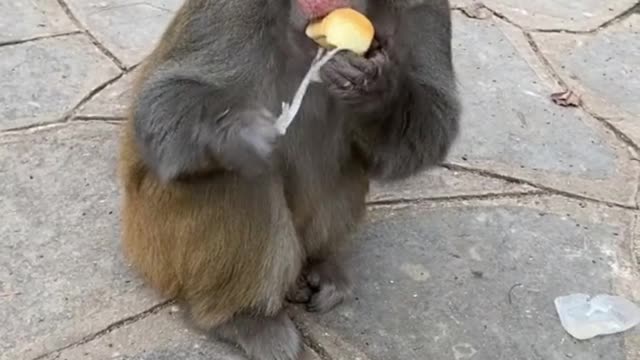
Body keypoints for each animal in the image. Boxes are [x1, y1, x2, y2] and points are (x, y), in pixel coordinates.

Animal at [119, 0, 460, 358]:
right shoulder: (234, 8)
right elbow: (166, 96)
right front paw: (234, 136)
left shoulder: (425, 8)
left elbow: (429, 129)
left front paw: (375, 91)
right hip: (155, 241)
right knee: (241, 178)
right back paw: (245, 318)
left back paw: (319, 264)